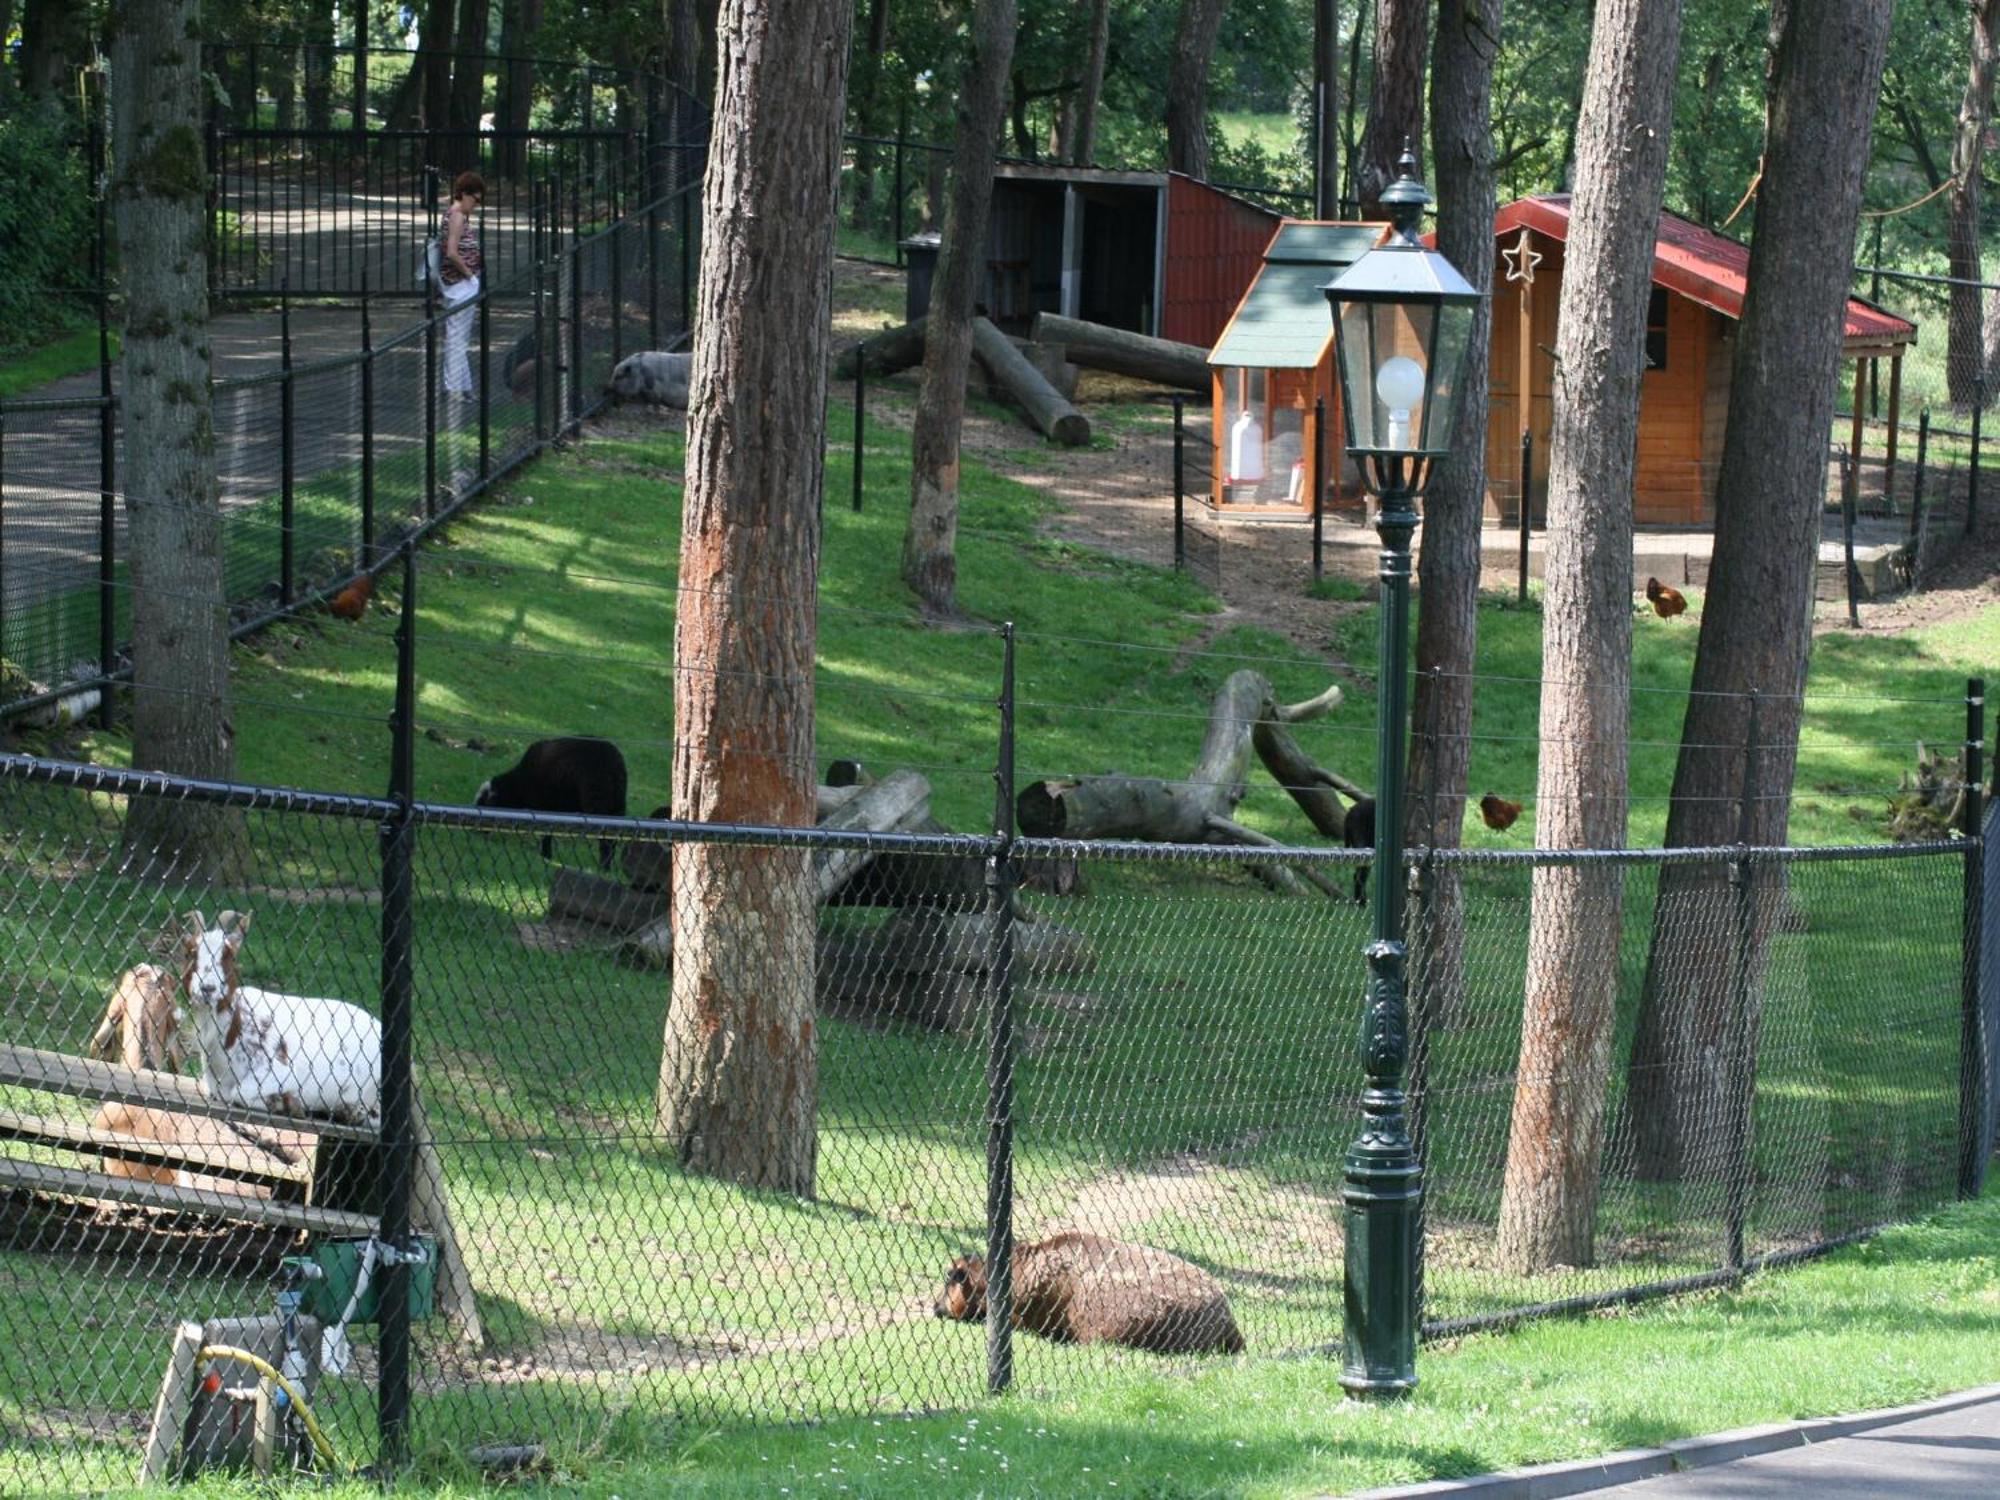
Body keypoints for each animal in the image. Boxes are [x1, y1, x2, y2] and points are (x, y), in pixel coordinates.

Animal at [178, 916, 380, 1128]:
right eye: (190, 953)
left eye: (230, 957)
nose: (208, 988)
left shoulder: (281, 1071)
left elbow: (240, 1092)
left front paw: (286, 1104)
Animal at [474, 740, 624, 868]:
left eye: (484, 803)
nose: (476, 834)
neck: (518, 785)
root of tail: (614, 761)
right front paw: (547, 858)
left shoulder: (541, 806)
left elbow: (545, 833)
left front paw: (545, 857)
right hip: (618, 803)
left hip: (597, 798)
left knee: (605, 836)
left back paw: (604, 867)